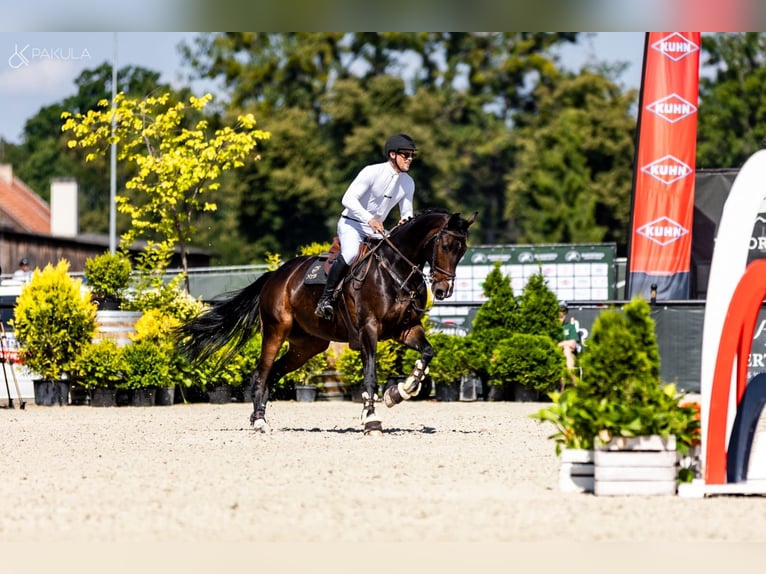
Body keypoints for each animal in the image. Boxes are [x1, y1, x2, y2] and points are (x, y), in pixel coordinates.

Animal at [177, 209, 477, 435]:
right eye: (446, 245)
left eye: (462, 250)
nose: (443, 290)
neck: (396, 269)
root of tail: (275, 275)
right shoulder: (369, 329)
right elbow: (370, 375)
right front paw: (371, 419)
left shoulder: (405, 329)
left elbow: (427, 352)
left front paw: (400, 392)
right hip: (275, 331)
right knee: (260, 373)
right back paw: (260, 422)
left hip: (308, 345)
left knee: (274, 372)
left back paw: (257, 417)